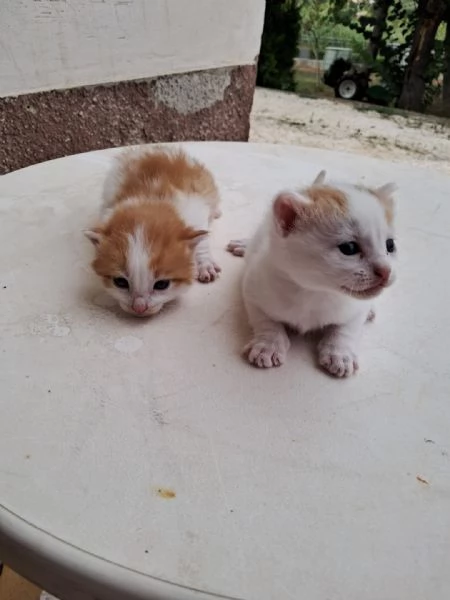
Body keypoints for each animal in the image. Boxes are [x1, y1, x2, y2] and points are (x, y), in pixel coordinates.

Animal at [85, 148, 221, 316]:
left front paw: (205, 264)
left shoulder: (196, 209)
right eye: (120, 282)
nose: (139, 308)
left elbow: (203, 240)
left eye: (161, 285)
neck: (151, 202)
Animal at [229, 171, 398, 376]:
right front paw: (268, 344)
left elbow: (347, 328)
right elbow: (265, 320)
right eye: (349, 248)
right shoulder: (253, 288)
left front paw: (340, 353)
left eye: (390, 245)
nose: (386, 270)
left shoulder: (356, 308)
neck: (315, 292)